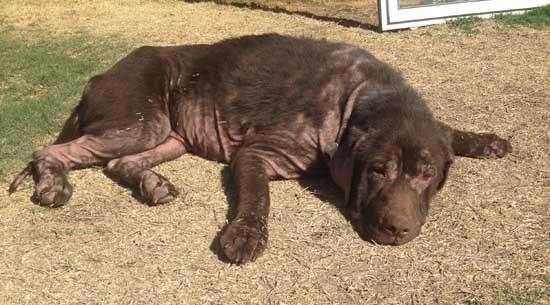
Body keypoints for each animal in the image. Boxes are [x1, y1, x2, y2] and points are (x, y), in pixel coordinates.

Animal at [8, 32, 512, 262]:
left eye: (426, 174)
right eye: (377, 170)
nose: (397, 229)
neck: (356, 97)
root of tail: (100, 74)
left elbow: (446, 129)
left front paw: (485, 140)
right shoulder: (254, 154)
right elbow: (257, 198)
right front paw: (246, 235)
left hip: (168, 138)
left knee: (118, 163)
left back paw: (152, 184)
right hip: (142, 122)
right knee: (49, 151)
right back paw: (52, 184)